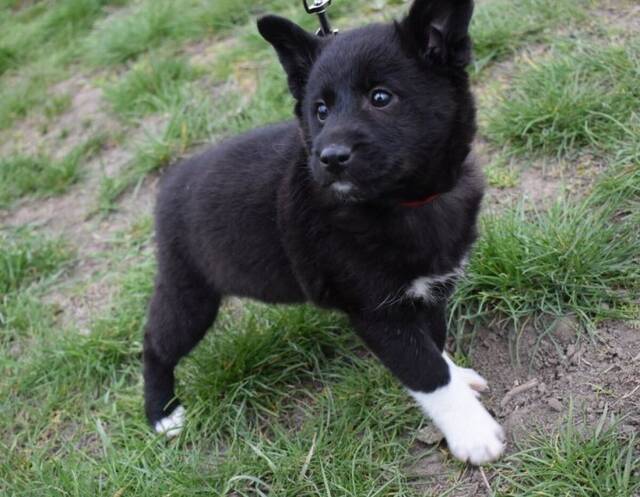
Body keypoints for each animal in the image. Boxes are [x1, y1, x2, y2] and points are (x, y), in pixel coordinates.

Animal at [143, 0, 505, 465]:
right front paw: (472, 433)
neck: (404, 203)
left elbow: (434, 343)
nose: (330, 158)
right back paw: (162, 414)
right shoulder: (377, 312)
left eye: (380, 98)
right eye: (320, 110)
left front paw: (460, 379)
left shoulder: (429, 290)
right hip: (189, 292)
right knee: (155, 343)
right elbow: (426, 371)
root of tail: (172, 180)